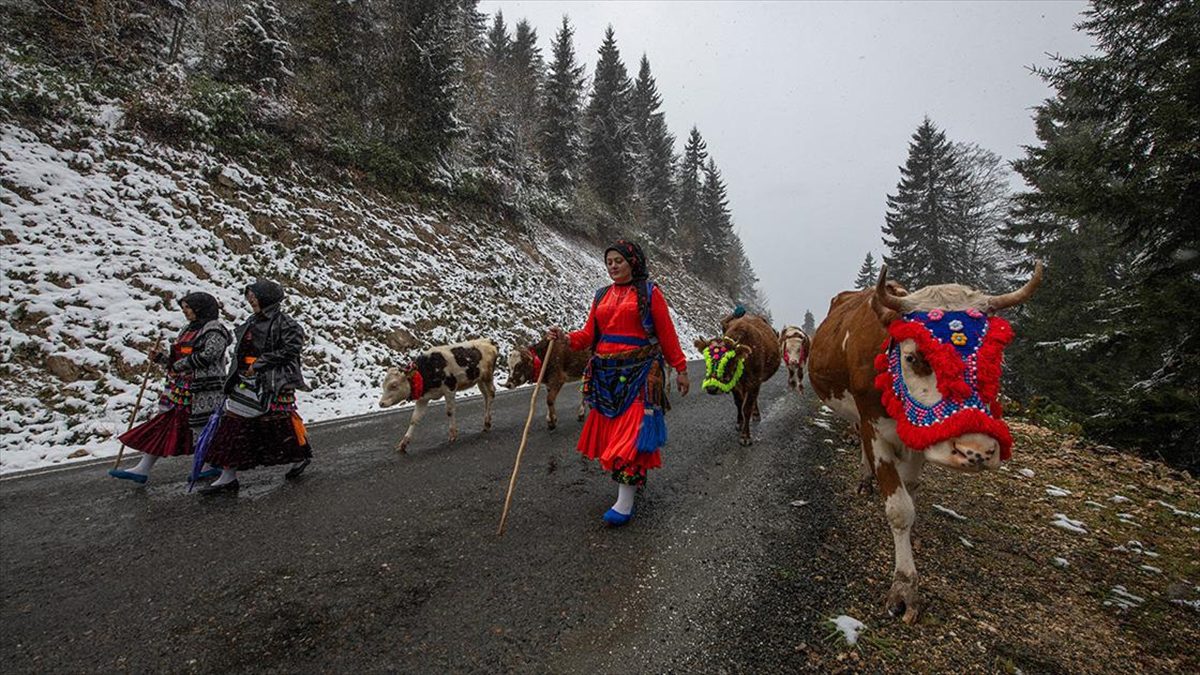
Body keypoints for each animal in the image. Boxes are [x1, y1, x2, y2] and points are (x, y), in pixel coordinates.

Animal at [696, 312, 777, 444]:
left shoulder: (754, 382)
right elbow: (739, 403)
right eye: (707, 359)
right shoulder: (735, 385)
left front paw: (745, 437)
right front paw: (740, 423)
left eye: (729, 360)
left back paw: (756, 414)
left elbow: (747, 407)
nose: (712, 388)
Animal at [806, 260, 1041, 624]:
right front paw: (904, 589)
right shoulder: (874, 426)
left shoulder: (916, 441)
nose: (977, 451)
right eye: (914, 357)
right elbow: (899, 508)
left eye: (993, 359)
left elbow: (910, 491)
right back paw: (864, 479)